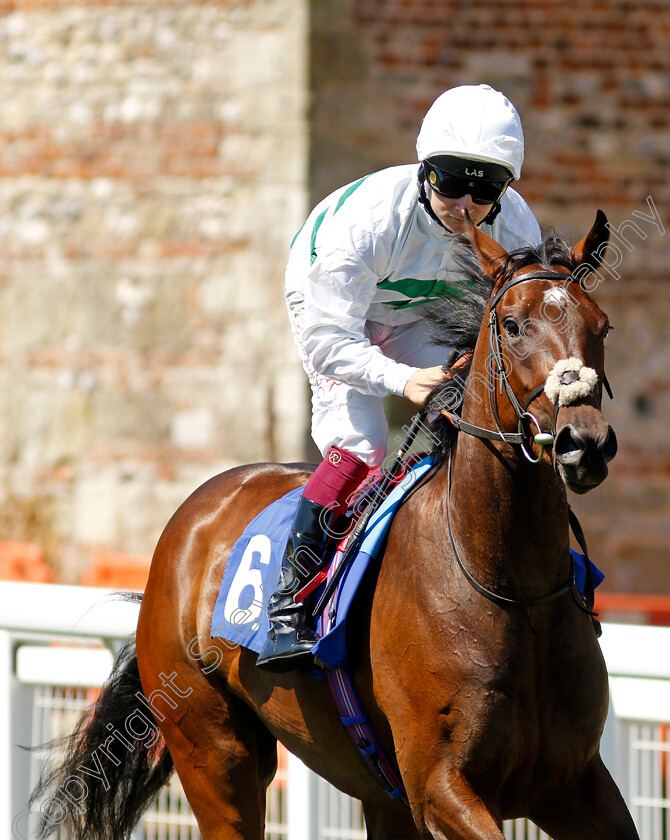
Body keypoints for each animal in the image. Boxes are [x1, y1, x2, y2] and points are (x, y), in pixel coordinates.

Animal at [32, 212, 640, 840]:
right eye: (514, 326)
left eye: (602, 325)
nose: (583, 442)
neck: (505, 585)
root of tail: (193, 516)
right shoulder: (442, 787)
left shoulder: (575, 783)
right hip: (213, 751)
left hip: (375, 794)